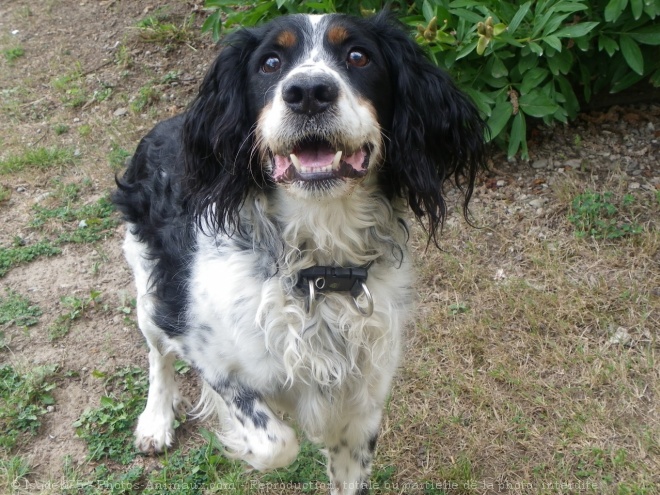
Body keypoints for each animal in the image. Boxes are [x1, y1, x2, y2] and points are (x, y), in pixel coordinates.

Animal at [112, 11, 484, 495]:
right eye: (270, 63)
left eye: (358, 56)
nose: (308, 92)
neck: (316, 270)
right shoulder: (207, 353)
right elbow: (274, 442)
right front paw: (244, 442)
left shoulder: (362, 407)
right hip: (150, 287)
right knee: (157, 355)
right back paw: (155, 422)